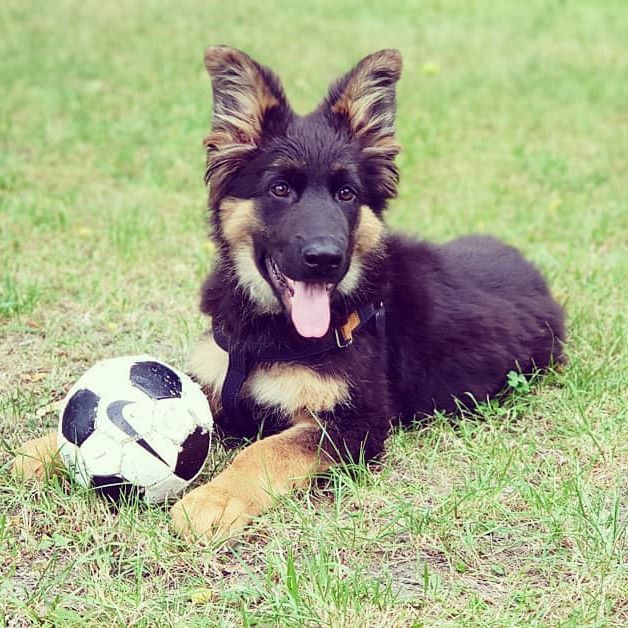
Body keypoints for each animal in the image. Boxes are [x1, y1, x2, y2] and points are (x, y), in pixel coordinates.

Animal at [13, 47, 564, 540]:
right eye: (280, 189)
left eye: (347, 194)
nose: (326, 258)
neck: (268, 329)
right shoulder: (212, 381)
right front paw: (43, 451)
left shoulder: (355, 423)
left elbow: (267, 450)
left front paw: (215, 499)